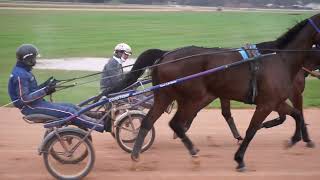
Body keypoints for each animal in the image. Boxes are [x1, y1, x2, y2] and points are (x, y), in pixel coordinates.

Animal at [105, 14, 320, 170]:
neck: (279, 59)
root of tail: (166, 54)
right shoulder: (267, 103)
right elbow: (252, 130)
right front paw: (240, 159)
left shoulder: (275, 100)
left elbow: (296, 114)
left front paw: (294, 139)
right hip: (193, 97)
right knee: (176, 123)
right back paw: (193, 153)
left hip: (166, 96)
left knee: (148, 122)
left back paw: (136, 155)